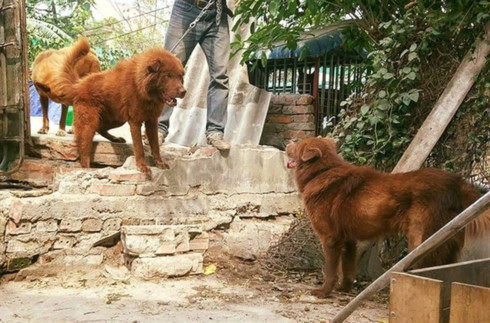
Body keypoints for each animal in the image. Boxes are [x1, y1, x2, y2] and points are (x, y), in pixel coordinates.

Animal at [56, 38, 187, 180]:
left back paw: (116, 139)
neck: (140, 86)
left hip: (116, 118)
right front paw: (143, 167)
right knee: (84, 151)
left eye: (180, 76)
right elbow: (139, 148)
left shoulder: (152, 121)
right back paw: (87, 169)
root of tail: (78, 85)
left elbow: (155, 146)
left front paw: (159, 163)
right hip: (90, 123)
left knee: (100, 128)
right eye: (168, 76)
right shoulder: (135, 122)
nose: (184, 92)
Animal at [286, 137, 488, 298]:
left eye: (297, 145)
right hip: (448, 241)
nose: (289, 141)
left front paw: (324, 292)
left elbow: (331, 271)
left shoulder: (331, 239)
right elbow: (348, 269)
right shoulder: (349, 240)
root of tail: (457, 184)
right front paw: (344, 289)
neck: (323, 171)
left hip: (421, 241)